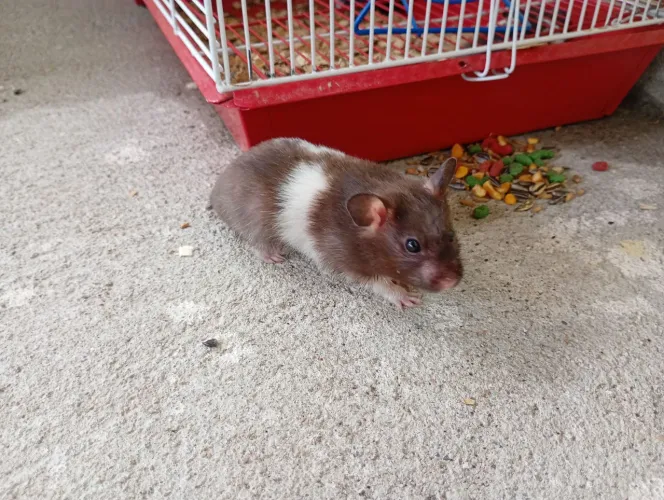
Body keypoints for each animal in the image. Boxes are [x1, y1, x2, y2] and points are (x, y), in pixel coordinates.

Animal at [210, 138, 462, 309]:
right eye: (412, 245)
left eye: (451, 235)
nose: (452, 283)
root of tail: (218, 186)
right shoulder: (348, 263)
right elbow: (381, 284)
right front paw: (408, 298)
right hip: (255, 222)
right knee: (255, 243)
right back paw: (274, 256)